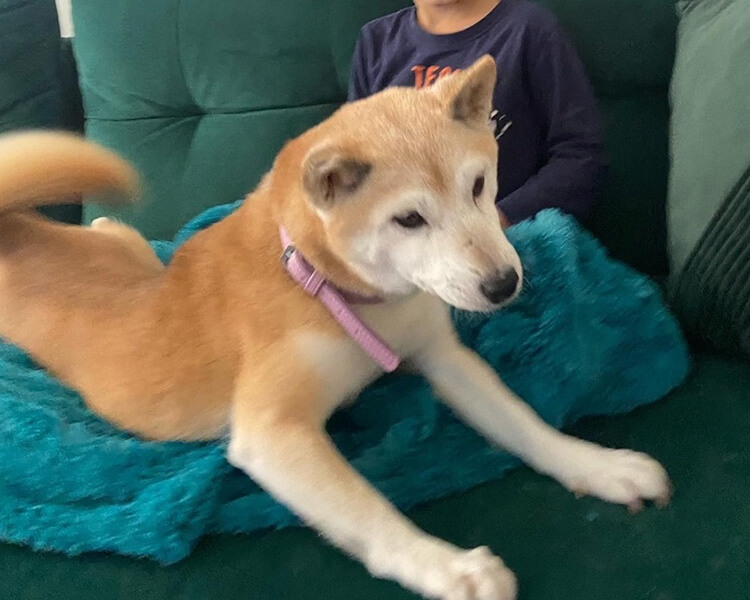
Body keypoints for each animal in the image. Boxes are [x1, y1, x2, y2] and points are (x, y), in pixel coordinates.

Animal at [0, 56, 670, 600]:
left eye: (479, 185)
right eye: (409, 219)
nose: (504, 284)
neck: (326, 284)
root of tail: (21, 231)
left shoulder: (442, 357)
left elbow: (525, 424)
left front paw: (597, 465)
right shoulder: (272, 432)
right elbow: (370, 511)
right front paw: (447, 566)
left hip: (130, 249)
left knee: (114, 230)